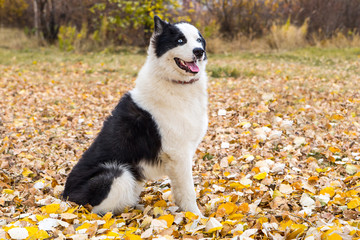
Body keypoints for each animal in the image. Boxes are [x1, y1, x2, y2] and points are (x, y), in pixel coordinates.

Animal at [62, 15, 208, 217]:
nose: (199, 52)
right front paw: (197, 217)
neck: (175, 82)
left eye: (198, 40)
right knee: (96, 212)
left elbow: (180, 190)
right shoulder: (178, 153)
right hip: (118, 173)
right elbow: (188, 191)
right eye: (180, 40)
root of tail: (65, 198)